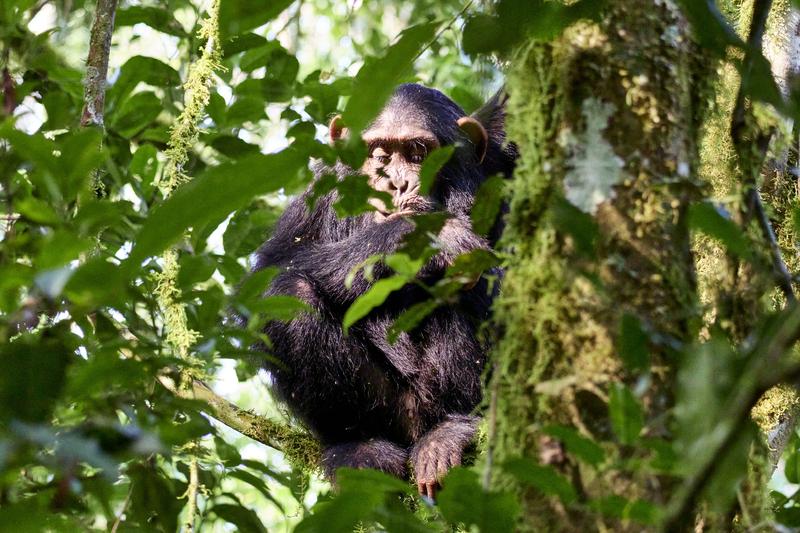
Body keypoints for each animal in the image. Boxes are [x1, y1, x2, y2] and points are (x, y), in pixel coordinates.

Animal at [256, 82, 516, 494]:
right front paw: (422, 236)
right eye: (378, 153)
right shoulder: (319, 190)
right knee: (287, 295)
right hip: (390, 410)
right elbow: (273, 267)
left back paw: (452, 432)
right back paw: (359, 448)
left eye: (418, 153)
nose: (395, 182)